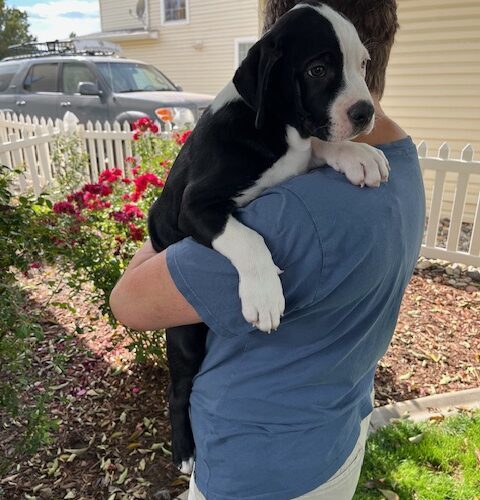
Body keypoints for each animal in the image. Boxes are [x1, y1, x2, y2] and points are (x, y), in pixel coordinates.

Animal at [148, 0, 388, 474]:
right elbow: (247, 239)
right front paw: (263, 296)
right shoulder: (195, 207)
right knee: (179, 389)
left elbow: (319, 146)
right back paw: (185, 451)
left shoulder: (302, 150)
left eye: (362, 65)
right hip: (185, 337)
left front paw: (357, 155)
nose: (364, 113)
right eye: (318, 70)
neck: (276, 128)